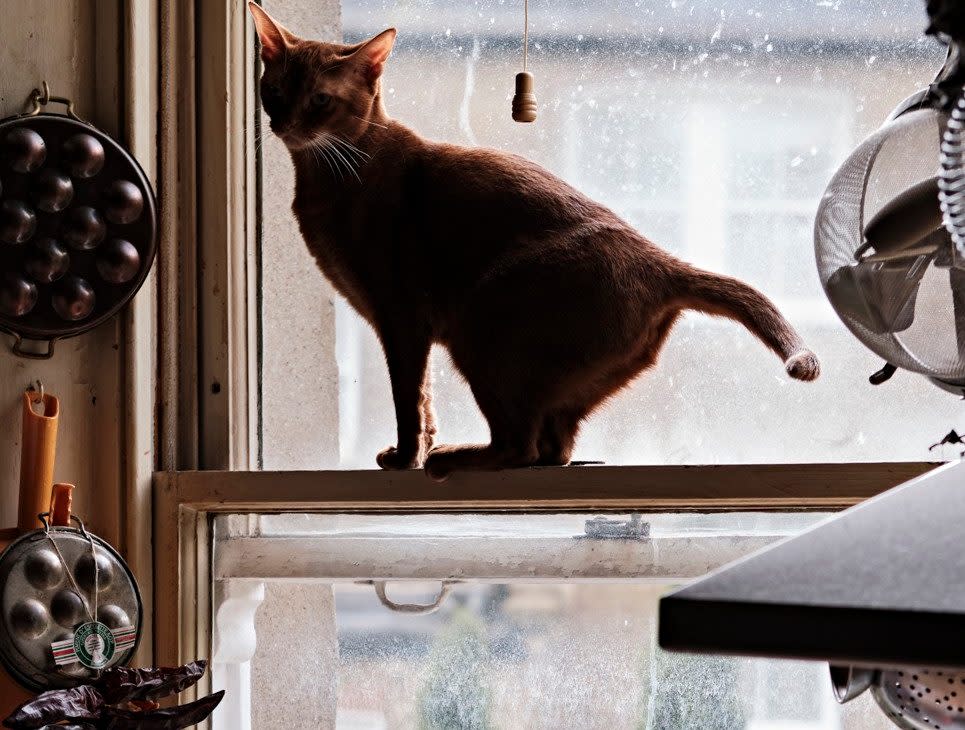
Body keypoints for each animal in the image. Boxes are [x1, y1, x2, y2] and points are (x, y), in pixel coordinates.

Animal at [250, 2, 820, 480]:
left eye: (320, 100)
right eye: (273, 92)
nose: (284, 123)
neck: (330, 177)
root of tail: (661, 261)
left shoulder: (402, 318)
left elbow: (408, 399)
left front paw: (409, 457)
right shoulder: (397, 324)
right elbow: (425, 399)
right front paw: (410, 451)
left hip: (481, 329)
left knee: (520, 446)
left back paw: (452, 459)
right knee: (554, 450)